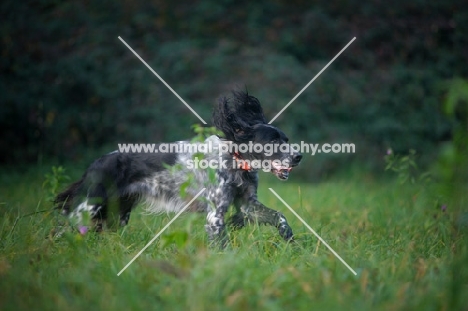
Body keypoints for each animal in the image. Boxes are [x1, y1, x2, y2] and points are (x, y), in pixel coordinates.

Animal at [54, 91, 302, 245]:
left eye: (286, 140)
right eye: (272, 141)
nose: (298, 156)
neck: (233, 159)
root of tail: (96, 163)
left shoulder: (248, 205)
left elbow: (280, 217)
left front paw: (290, 241)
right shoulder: (215, 214)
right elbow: (222, 244)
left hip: (117, 214)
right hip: (89, 206)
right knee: (62, 229)